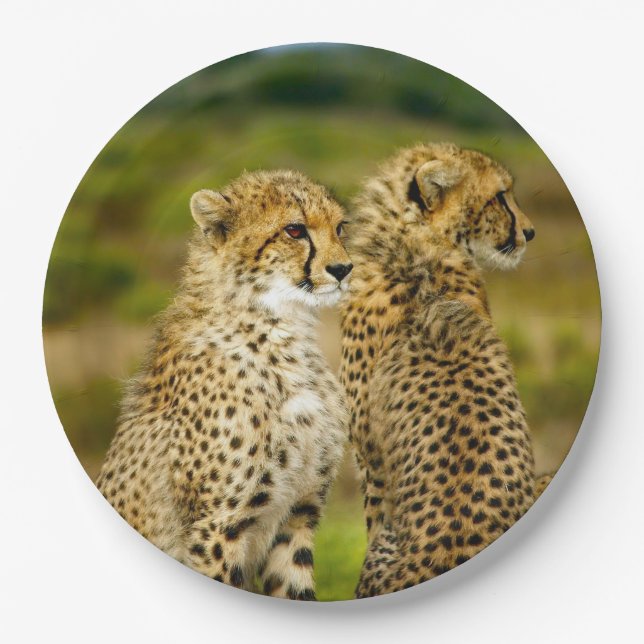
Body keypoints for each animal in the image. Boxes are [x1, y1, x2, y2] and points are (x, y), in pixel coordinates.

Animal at [96, 169, 352, 600]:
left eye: (340, 227)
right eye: (295, 230)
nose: (344, 269)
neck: (282, 330)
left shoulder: (298, 516)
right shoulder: (218, 527)